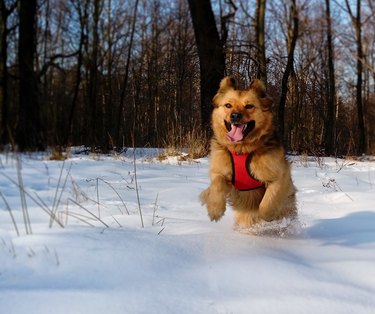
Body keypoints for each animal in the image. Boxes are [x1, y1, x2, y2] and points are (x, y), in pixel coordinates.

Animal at [201, 76, 298, 228]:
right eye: (228, 105)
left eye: (249, 106)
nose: (235, 116)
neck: (242, 149)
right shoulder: (219, 172)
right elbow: (217, 185)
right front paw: (215, 210)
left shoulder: (279, 175)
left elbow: (266, 203)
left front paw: (269, 216)